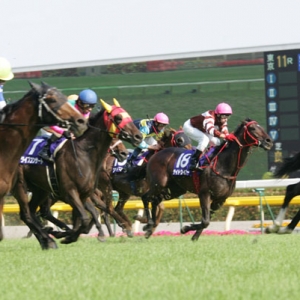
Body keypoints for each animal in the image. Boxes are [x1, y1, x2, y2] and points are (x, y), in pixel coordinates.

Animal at [139, 118, 274, 240]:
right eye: (252, 128)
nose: (269, 141)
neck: (223, 166)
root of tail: (156, 153)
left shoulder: (220, 200)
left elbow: (206, 221)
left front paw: (194, 237)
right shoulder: (204, 193)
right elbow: (205, 221)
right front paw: (185, 229)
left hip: (174, 190)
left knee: (155, 200)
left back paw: (149, 229)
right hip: (158, 184)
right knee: (146, 197)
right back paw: (148, 223)